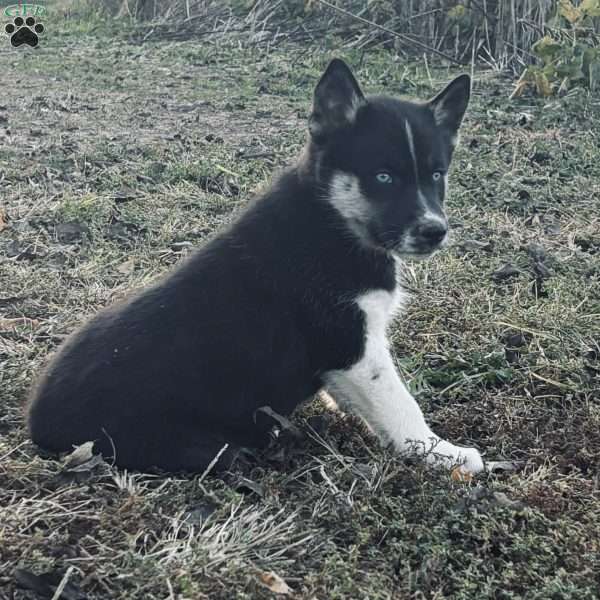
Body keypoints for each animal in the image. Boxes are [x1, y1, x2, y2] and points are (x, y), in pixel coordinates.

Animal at [29, 59, 488, 474]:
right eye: (383, 177)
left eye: (436, 175)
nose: (434, 231)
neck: (333, 219)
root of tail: (37, 423)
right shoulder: (352, 344)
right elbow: (400, 404)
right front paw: (442, 454)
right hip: (178, 442)